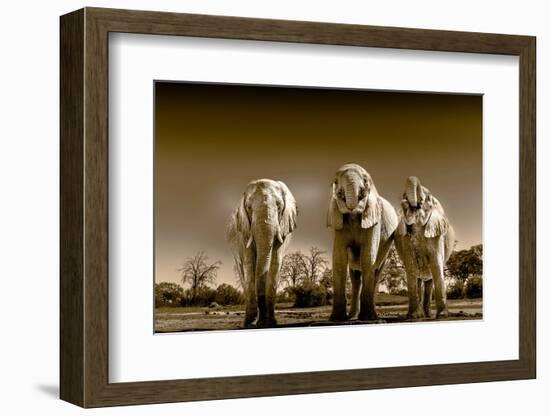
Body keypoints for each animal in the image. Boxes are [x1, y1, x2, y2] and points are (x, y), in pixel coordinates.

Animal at [227, 179, 300, 328]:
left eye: (279, 207)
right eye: (249, 208)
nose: (262, 322)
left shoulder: (283, 230)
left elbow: (274, 265)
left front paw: (271, 323)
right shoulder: (244, 231)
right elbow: (250, 265)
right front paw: (251, 324)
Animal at [328, 162, 402, 322]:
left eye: (366, 181)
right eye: (335, 182)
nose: (361, 193)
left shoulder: (374, 220)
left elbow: (368, 256)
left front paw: (368, 318)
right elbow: (339, 259)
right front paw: (336, 319)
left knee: (376, 272)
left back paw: (372, 316)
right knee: (355, 277)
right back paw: (352, 317)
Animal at [396, 176, 458, 318]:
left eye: (427, 197)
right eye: (403, 196)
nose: (406, 201)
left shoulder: (437, 232)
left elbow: (436, 263)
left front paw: (442, 316)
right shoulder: (404, 239)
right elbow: (411, 266)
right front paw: (413, 317)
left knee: (430, 280)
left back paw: (429, 315)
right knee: (418, 279)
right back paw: (421, 315)